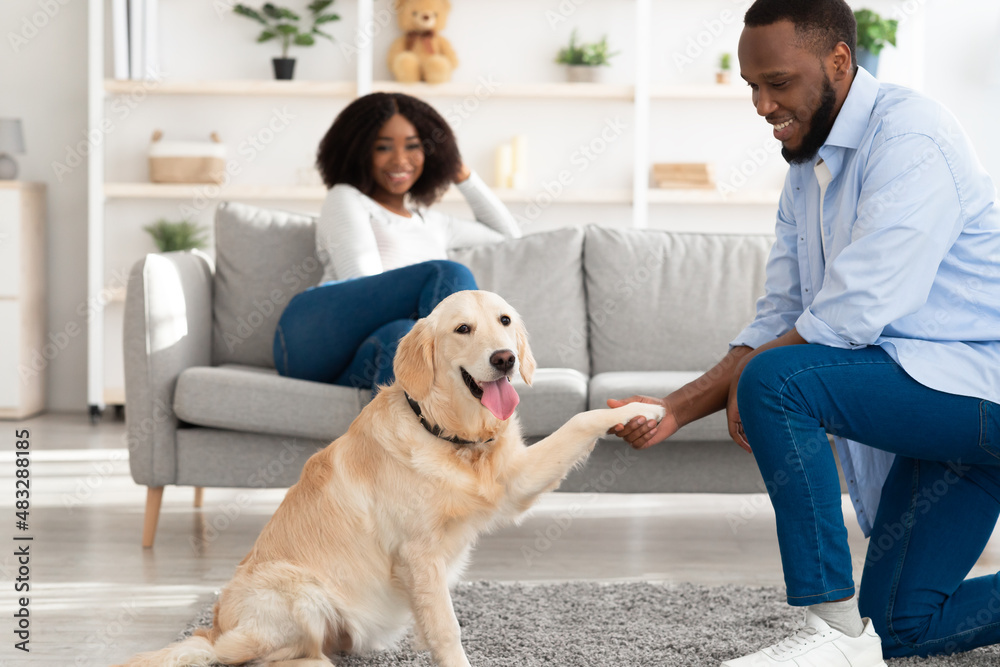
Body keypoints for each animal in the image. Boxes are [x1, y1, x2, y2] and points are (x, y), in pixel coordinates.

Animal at [117, 288, 664, 667]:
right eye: (462, 329)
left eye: (505, 321)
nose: (505, 358)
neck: (448, 435)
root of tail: (213, 626)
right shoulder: (418, 555)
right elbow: (447, 628)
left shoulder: (514, 482)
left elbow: (580, 420)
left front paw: (640, 409)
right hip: (297, 592)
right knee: (253, 659)